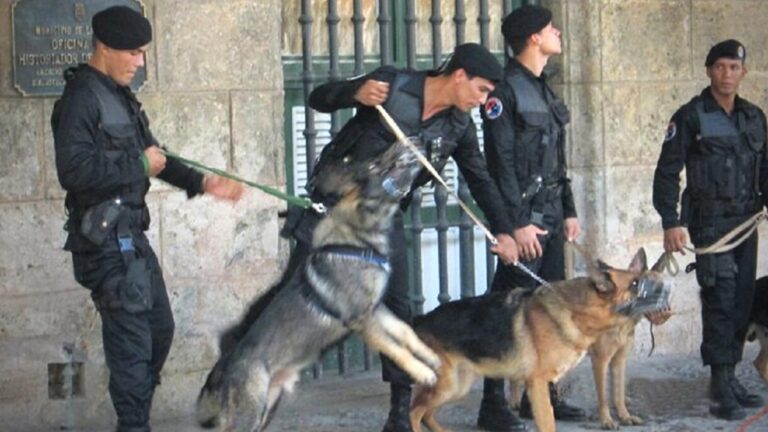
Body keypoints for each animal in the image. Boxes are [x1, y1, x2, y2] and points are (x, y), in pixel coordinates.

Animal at [195, 141, 441, 432]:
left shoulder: (376, 309)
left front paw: (430, 357)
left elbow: (405, 332)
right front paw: (422, 372)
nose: (411, 141)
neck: (356, 240)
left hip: (267, 409)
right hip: (249, 415)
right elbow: (395, 349)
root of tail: (221, 371)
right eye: (375, 164)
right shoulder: (362, 320)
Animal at [409, 248, 671, 432]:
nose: (667, 298)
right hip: (447, 385)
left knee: (426, 414)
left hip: (456, 386)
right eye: (636, 283)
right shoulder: (538, 384)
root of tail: (421, 318)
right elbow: (549, 423)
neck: (578, 311)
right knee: (414, 412)